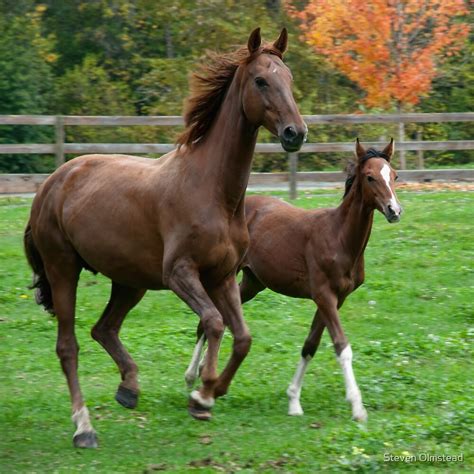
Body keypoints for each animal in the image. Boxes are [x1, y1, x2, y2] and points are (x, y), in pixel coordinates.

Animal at [24, 27, 306, 450]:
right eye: (261, 80)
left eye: (288, 78)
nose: (295, 133)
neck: (212, 190)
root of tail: (51, 183)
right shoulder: (180, 273)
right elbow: (214, 323)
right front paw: (201, 394)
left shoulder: (222, 276)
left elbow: (242, 337)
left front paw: (209, 394)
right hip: (63, 270)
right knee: (68, 346)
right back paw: (84, 428)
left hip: (129, 282)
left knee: (103, 328)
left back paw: (129, 389)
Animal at [185, 138, 400, 422]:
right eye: (370, 177)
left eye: (394, 175)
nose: (394, 211)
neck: (339, 237)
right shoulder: (323, 295)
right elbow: (341, 345)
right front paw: (357, 406)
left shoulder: (336, 299)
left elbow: (310, 345)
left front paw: (294, 401)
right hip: (231, 278)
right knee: (207, 321)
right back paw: (191, 376)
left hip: (252, 283)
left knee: (212, 320)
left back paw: (200, 373)